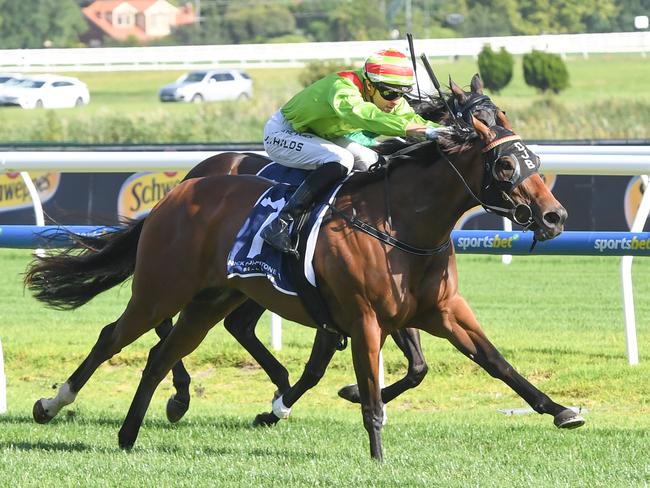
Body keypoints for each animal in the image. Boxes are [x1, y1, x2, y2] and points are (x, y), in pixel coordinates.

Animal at [24, 88, 584, 462]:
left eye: (534, 157)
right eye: (507, 165)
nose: (555, 216)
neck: (400, 221)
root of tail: (178, 192)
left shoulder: (439, 311)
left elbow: (493, 362)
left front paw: (560, 409)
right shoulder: (362, 317)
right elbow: (368, 386)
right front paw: (374, 451)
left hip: (211, 300)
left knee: (164, 354)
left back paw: (132, 432)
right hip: (162, 289)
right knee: (113, 338)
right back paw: (54, 404)